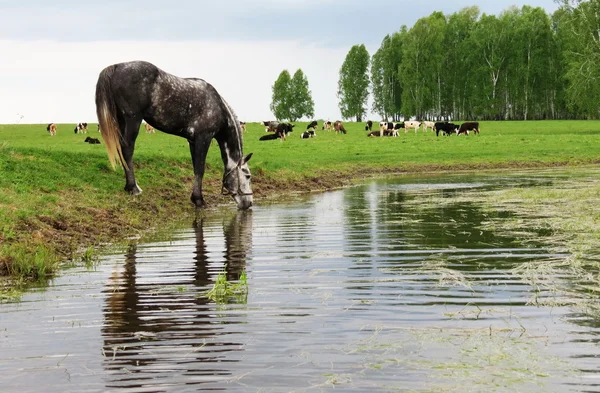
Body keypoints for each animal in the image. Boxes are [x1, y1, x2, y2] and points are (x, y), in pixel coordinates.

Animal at [95, 59, 253, 210]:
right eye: (247, 175)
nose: (249, 203)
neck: (217, 106)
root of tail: (117, 66)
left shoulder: (193, 141)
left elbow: (196, 168)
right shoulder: (204, 138)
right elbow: (200, 169)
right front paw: (199, 200)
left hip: (121, 121)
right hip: (133, 119)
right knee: (127, 149)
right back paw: (133, 188)